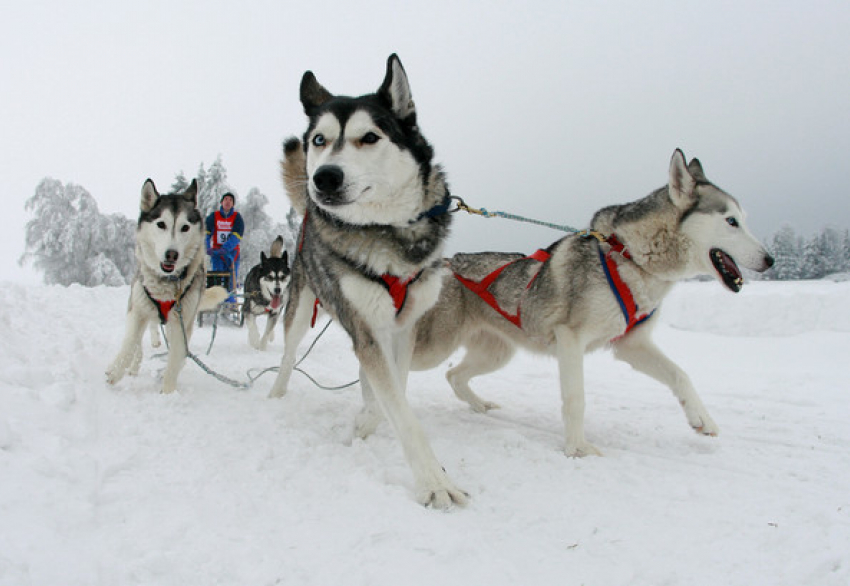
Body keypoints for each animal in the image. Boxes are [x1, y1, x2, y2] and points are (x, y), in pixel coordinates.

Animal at [107, 179, 229, 392]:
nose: (171, 254)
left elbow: (174, 360)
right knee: (142, 338)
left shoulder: (182, 322)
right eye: (161, 224)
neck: (166, 282)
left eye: (185, 227)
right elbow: (130, 343)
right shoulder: (137, 309)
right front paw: (115, 371)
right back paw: (137, 361)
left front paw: (168, 392)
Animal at [268, 52, 464, 504]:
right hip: (299, 309)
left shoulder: (402, 328)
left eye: (370, 138)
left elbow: (392, 391)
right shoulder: (366, 329)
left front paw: (364, 422)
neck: (388, 231)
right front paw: (435, 483)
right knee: (287, 358)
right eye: (319, 140)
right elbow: (398, 408)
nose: (324, 177)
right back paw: (275, 396)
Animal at [388, 149, 772, 456]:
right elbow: (576, 399)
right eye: (731, 221)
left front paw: (701, 418)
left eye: (743, 219)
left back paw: (479, 404)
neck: (631, 257)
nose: (769, 260)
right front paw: (577, 449)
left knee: (453, 375)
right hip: (436, 346)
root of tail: (443, 263)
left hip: (496, 353)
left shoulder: (632, 344)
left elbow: (681, 375)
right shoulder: (571, 339)